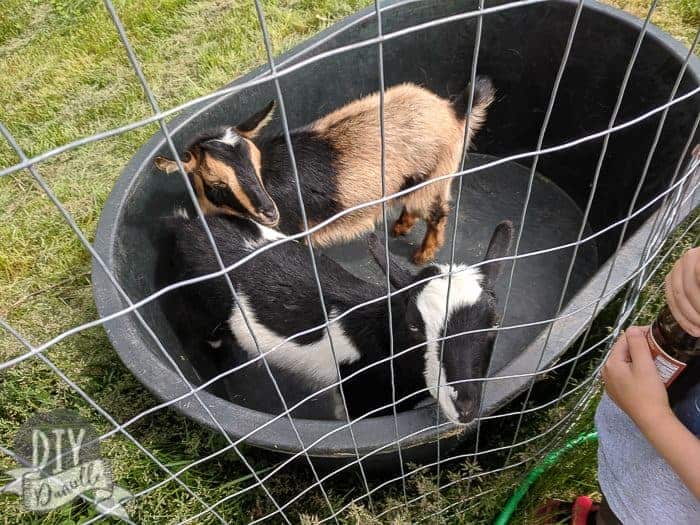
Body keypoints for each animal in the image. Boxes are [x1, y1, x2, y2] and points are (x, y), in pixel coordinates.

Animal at [153, 77, 494, 266]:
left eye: (256, 162)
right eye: (216, 182)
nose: (269, 212)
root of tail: (452, 110)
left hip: (436, 173)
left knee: (437, 212)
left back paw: (423, 255)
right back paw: (399, 227)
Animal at [160, 211, 516, 424]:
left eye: (493, 323)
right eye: (415, 326)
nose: (465, 406)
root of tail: (185, 225)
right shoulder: (360, 397)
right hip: (197, 315)